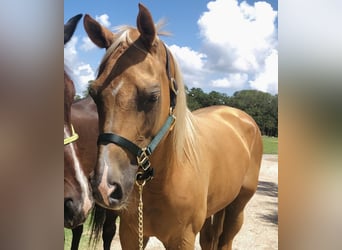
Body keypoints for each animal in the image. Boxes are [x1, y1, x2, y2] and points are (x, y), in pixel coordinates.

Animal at [85, 3, 262, 248]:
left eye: (153, 96)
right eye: (94, 93)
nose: (104, 187)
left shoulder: (182, 239)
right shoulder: (131, 234)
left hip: (237, 207)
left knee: (226, 239)